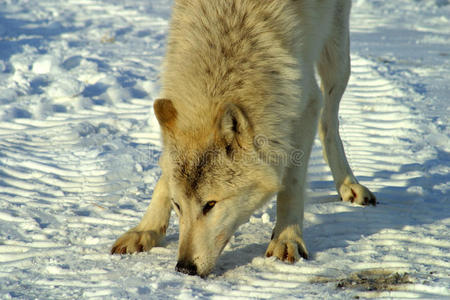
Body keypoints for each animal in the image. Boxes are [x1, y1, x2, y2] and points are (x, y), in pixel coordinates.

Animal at [110, 0, 374, 276]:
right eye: (178, 205)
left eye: (211, 205)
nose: (184, 268)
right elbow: (164, 179)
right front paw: (145, 230)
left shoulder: (304, 103)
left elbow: (291, 184)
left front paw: (286, 239)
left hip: (337, 55)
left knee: (329, 120)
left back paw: (348, 185)